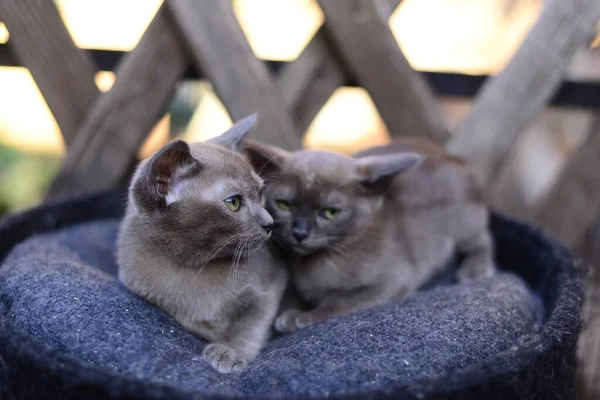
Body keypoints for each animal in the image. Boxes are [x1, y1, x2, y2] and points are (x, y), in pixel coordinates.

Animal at [118, 115, 288, 372]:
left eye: (260, 193)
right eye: (234, 203)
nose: (269, 223)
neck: (194, 268)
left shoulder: (271, 286)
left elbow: (250, 324)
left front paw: (228, 352)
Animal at [241, 139, 494, 332]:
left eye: (331, 212)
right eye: (285, 205)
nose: (299, 233)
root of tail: (452, 156)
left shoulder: (392, 279)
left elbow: (338, 300)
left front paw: (300, 317)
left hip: (464, 222)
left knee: (483, 238)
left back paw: (475, 269)